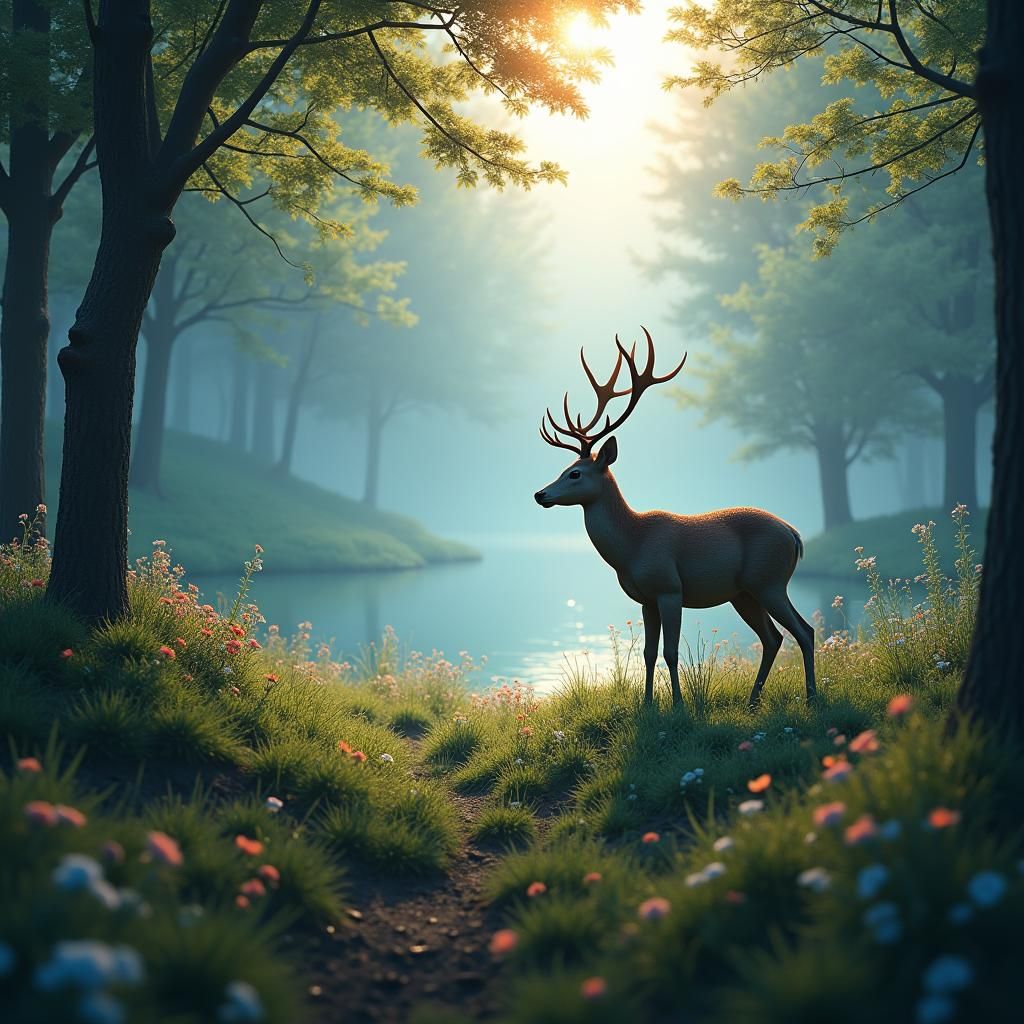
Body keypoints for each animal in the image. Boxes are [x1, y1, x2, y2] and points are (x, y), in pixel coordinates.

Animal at [534, 328, 816, 709]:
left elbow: (670, 652)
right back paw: (753, 701)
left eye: (575, 473)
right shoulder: (646, 599)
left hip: (769, 580)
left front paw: (679, 706)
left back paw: (812, 698)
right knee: (773, 637)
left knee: (804, 630)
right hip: (744, 591)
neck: (631, 546)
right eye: (563, 469)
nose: (540, 494)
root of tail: (794, 534)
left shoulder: (669, 587)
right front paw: (647, 704)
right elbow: (648, 653)